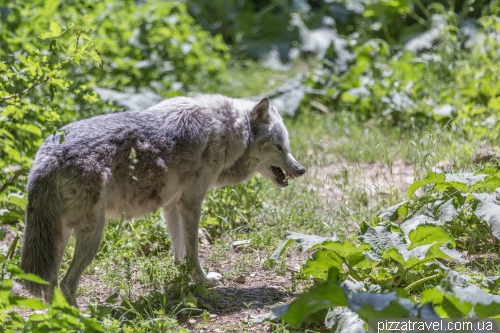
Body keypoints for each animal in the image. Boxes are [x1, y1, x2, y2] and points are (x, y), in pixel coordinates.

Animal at [19, 93, 304, 306]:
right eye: (279, 146)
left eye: (287, 146)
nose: (300, 169)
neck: (225, 130)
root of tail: (47, 158)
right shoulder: (191, 204)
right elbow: (193, 252)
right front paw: (202, 281)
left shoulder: (171, 205)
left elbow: (179, 252)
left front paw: (182, 279)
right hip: (93, 236)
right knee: (67, 284)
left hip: (61, 238)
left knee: (50, 286)